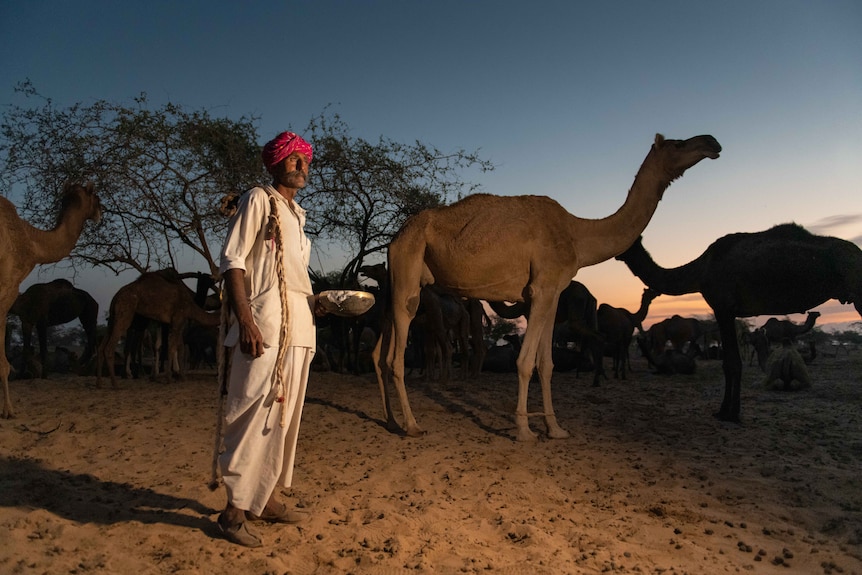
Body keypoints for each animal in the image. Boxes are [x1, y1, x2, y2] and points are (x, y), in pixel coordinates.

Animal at [376, 135, 724, 440]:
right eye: (677, 144)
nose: (712, 142)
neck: (576, 234)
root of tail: (396, 239)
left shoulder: (553, 293)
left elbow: (547, 363)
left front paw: (555, 429)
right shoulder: (541, 289)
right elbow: (524, 362)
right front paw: (524, 430)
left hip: (395, 283)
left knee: (379, 353)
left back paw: (391, 421)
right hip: (409, 271)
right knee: (396, 355)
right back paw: (412, 426)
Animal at [616, 225, 862, 424]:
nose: (616, 251)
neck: (701, 269)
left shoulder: (722, 307)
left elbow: (731, 363)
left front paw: (728, 413)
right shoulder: (732, 312)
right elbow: (733, 362)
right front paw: (730, 411)